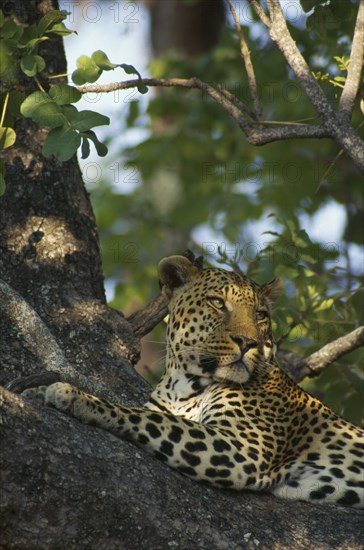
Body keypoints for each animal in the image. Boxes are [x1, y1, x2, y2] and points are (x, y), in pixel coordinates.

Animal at [20, 254, 364, 508]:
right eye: (217, 303)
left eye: (261, 314)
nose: (248, 342)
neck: (183, 385)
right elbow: (152, 414)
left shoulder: (242, 446)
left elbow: (142, 416)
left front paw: (75, 396)